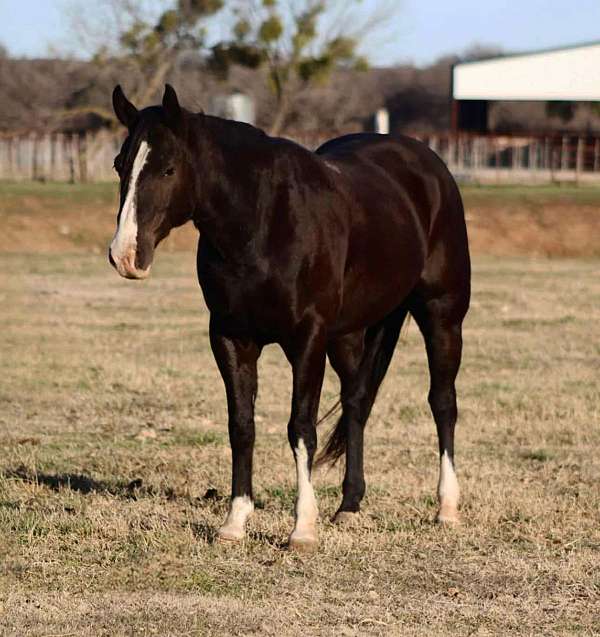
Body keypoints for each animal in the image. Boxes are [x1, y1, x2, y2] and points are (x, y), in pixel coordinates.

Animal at [110, 85, 472, 552]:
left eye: (168, 168)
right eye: (120, 164)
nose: (125, 256)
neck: (263, 223)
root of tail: (427, 163)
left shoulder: (307, 339)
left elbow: (301, 427)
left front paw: (302, 528)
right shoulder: (230, 337)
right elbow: (241, 426)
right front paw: (235, 522)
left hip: (441, 315)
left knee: (442, 403)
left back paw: (446, 508)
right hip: (349, 335)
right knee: (356, 404)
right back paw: (349, 506)